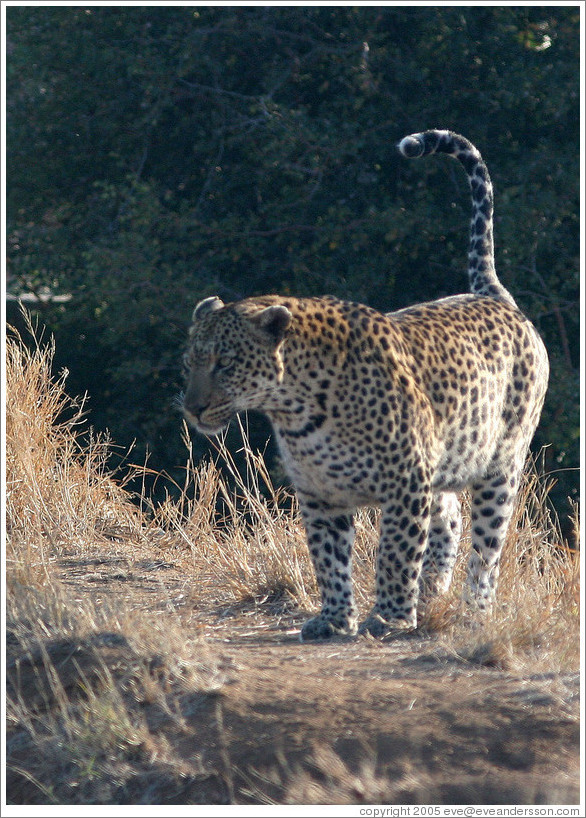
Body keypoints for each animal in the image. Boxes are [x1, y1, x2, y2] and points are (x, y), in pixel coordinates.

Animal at [182, 129, 549, 641]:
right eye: (190, 362)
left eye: (226, 363)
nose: (192, 409)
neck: (295, 408)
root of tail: (493, 296)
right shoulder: (320, 491)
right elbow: (328, 558)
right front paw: (335, 619)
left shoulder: (405, 480)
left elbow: (395, 553)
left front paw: (389, 616)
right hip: (447, 456)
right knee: (450, 517)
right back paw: (431, 593)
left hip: (501, 465)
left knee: (486, 547)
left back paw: (474, 609)